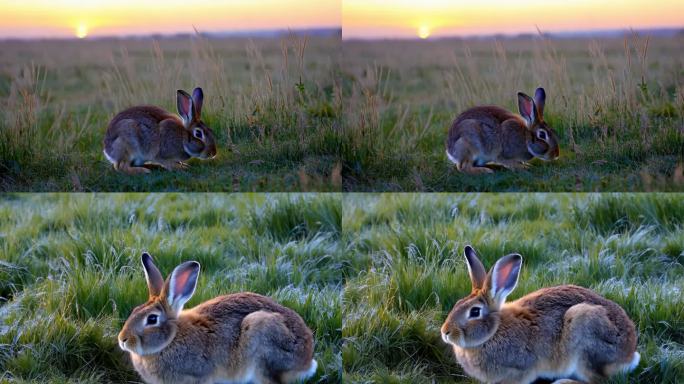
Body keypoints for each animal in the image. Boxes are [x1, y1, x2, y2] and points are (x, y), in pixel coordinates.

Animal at [118, 252, 318, 384]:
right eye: (134, 311)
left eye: (152, 319)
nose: (122, 339)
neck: (171, 339)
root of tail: (306, 361)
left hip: (262, 336)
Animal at [440, 246, 640, 384]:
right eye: (457, 304)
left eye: (475, 312)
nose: (445, 332)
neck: (494, 332)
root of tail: (629, 354)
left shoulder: (519, 370)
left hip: (584, 329)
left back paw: (563, 382)